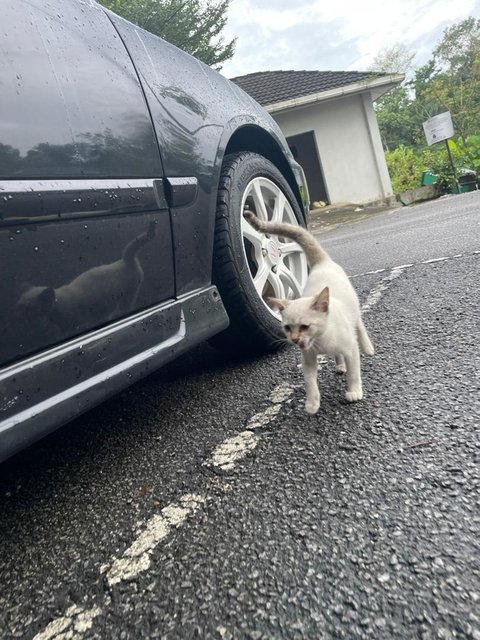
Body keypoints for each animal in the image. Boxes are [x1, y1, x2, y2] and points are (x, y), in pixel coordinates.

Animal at [244, 211, 376, 416]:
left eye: (305, 326)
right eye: (287, 328)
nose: (295, 340)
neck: (322, 341)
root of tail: (321, 263)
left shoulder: (350, 350)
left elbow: (354, 373)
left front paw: (354, 392)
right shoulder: (308, 360)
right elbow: (310, 383)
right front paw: (312, 404)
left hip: (354, 313)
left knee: (360, 326)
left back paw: (368, 348)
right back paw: (340, 366)